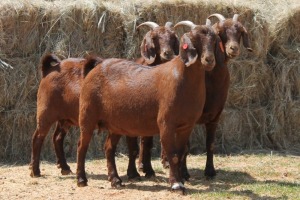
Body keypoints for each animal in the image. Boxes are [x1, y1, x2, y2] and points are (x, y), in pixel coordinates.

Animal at [76, 19, 224, 194]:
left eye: (214, 40)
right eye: (195, 39)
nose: (209, 60)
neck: (182, 79)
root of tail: (96, 66)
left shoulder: (187, 125)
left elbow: (181, 153)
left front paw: (181, 180)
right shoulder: (166, 123)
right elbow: (173, 154)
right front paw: (176, 184)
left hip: (115, 123)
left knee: (108, 148)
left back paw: (115, 180)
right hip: (87, 115)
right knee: (82, 145)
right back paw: (81, 179)